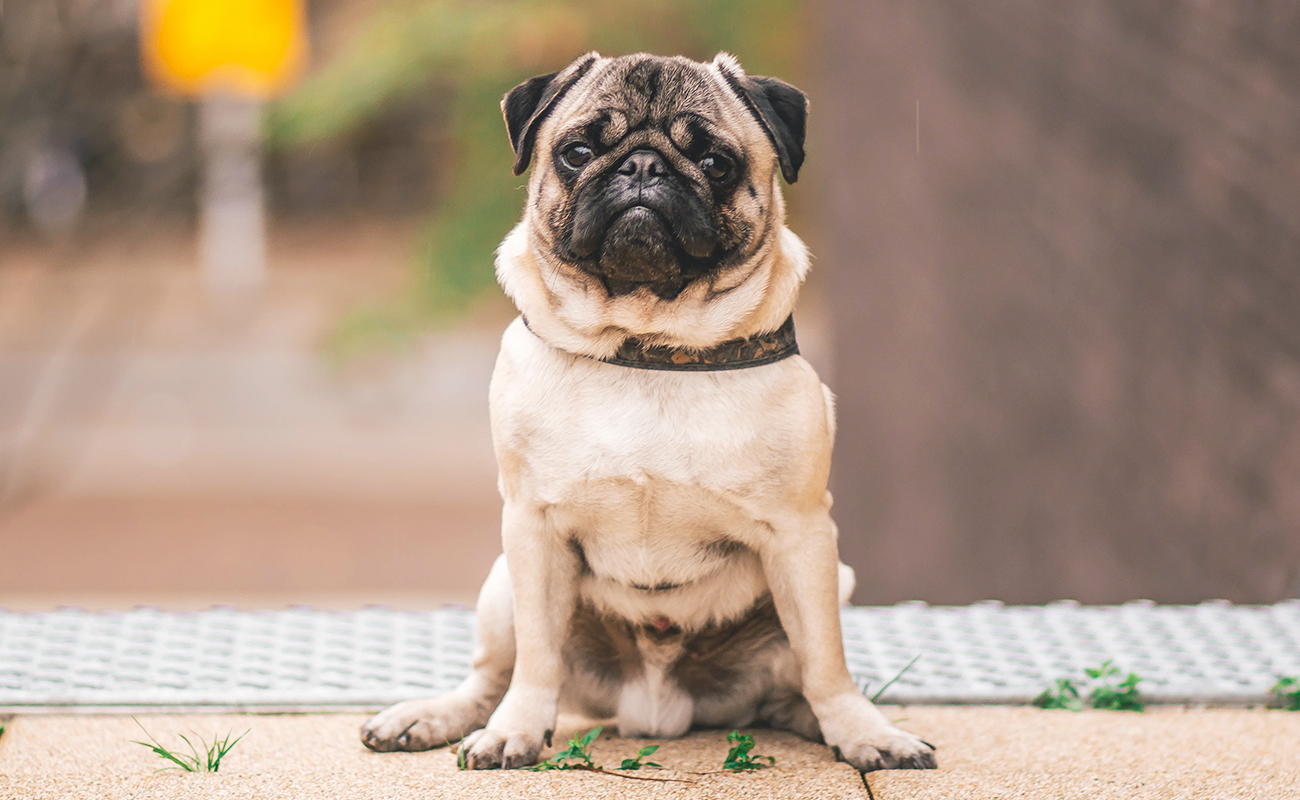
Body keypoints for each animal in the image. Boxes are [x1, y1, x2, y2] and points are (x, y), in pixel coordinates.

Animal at [361, 51, 941, 775]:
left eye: (716, 163)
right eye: (578, 153)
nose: (641, 166)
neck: (648, 346)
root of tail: (656, 708)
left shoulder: (802, 534)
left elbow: (828, 661)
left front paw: (863, 730)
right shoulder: (531, 527)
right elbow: (537, 658)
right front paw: (516, 730)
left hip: (829, 580)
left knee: (798, 683)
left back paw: (834, 721)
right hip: (499, 584)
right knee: (493, 675)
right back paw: (435, 717)